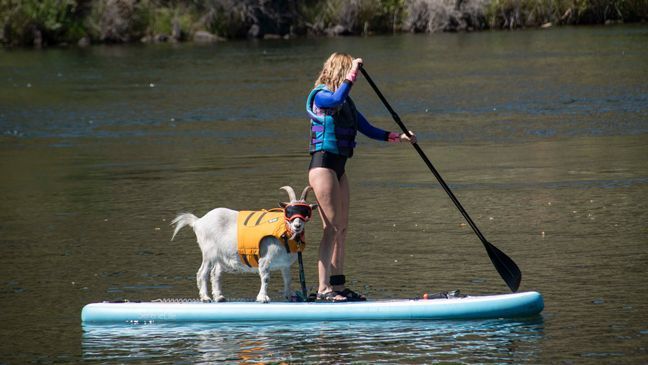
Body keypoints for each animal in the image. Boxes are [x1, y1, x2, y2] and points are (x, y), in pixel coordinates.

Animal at [171, 185, 316, 302]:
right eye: (288, 211)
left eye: (306, 212)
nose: (297, 225)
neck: (284, 234)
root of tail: (198, 222)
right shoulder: (265, 259)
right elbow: (266, 278)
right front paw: (263, 298)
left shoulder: (284, 264)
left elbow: (288, 280)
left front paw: (289, 296)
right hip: (208, 253)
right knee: (202, 273)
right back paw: (206, 298)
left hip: (219, 256)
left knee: (215, 273)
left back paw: (219, 297)